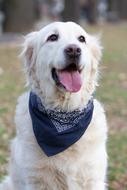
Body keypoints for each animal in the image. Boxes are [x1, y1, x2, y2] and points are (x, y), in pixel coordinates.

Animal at [0, 21, 108, 189]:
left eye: (81, 39)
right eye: (53, 37)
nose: (74, 50)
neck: (64, 113)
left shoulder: (93, 178)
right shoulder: (35, 180)